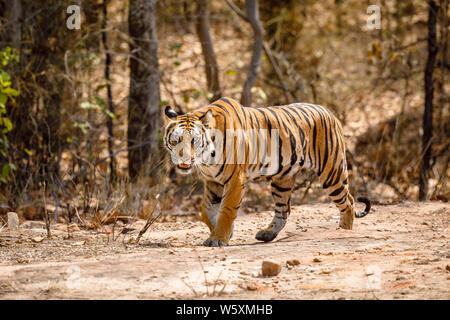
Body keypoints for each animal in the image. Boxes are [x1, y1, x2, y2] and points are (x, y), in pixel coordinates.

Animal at [163, 97, 370, 248]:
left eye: (194, 141)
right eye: (176, 140)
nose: (183, 160)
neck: (207, 159)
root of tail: (329, 112)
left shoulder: (235, 180)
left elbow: (227, 210)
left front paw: (218, 238)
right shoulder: (213, 181)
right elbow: (206, 211)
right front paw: (225, 232)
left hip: (331, 173)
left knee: (348, 202)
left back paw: (345, 231)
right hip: (282, 180)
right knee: (284, 210)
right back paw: (268, 234)